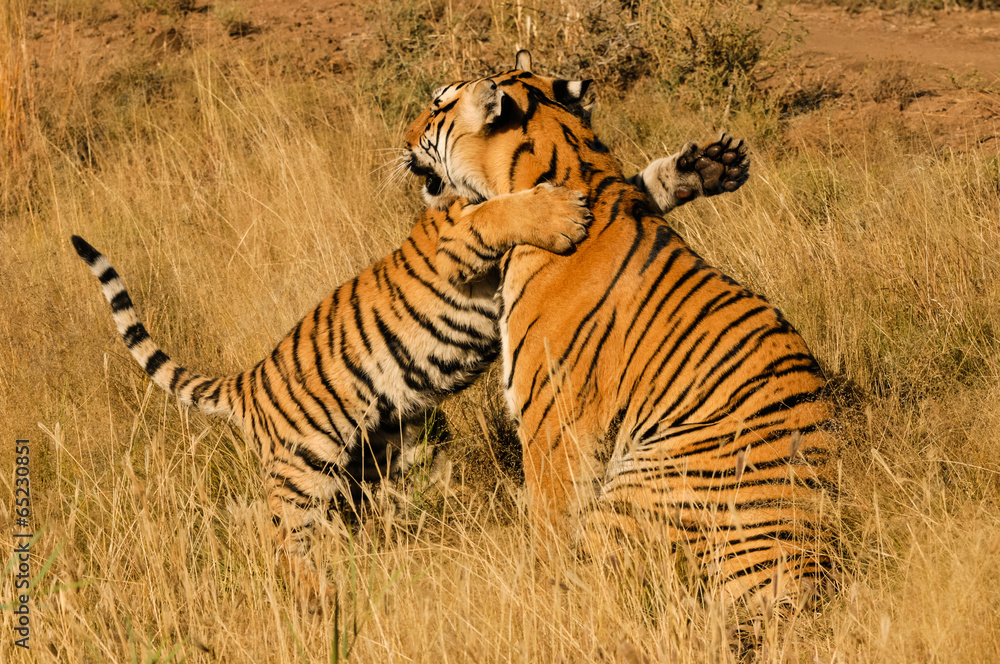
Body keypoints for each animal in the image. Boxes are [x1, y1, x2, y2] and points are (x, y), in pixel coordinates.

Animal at [71, 98, 747, 602]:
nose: (404, 144)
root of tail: (247, 381)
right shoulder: (461, 243)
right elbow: (501, 215)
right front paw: (558, 212)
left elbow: (638, 185)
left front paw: (709, 167)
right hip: (300, 466)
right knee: (281, 540)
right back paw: (319, 596)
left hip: (372, 464)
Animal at [404, 49, 835, 611]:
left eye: (437, 105)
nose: (403, 137)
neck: (567, 158)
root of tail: (808, 564)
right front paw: (700, 168)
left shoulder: (554, 422)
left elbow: (550, 521)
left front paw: (540, 595)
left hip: (644, 481)